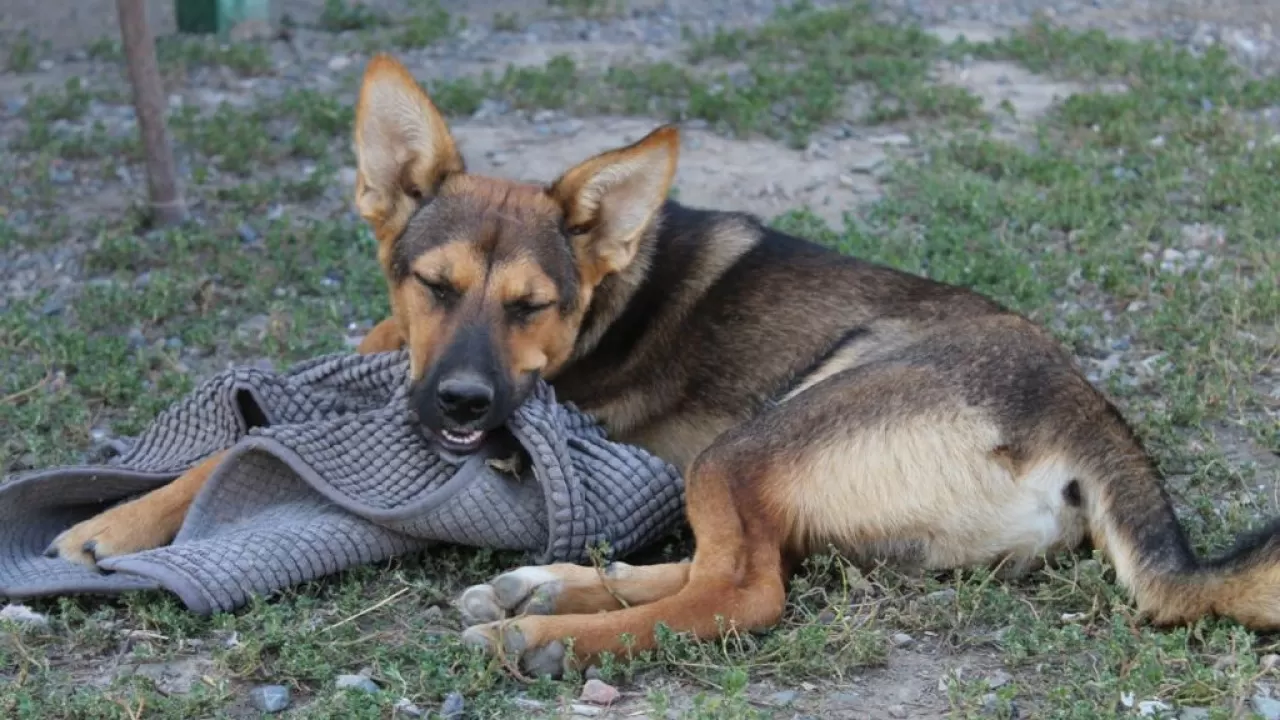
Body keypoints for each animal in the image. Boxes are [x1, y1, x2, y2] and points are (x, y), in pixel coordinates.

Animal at [52, 53, 1280, 676]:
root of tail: (1086, 413)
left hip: (762, 434)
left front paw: (108, 525)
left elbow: (248, 445)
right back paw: (543, 586)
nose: (462, 404)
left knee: (740, 590)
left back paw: (544, 635)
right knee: (718, 566)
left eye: (532, 306)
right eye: (433, 285)